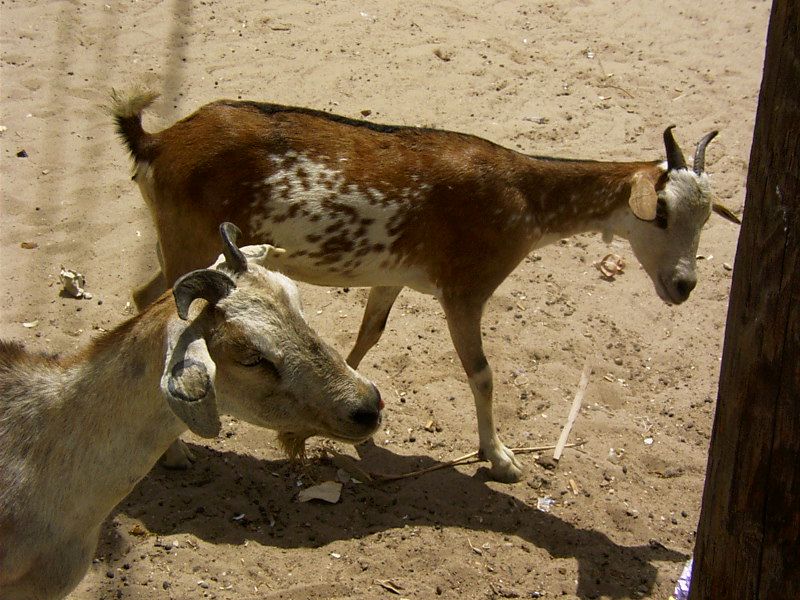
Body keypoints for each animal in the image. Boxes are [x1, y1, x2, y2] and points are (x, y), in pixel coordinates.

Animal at [111, 90, 739, 483]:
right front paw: (501, 458)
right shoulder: (465, 287)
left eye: (708, 215)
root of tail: (156, 142)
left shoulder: (392, 278)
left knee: (143, 294)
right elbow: (482, 373)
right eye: (661, 212)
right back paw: (173, 459)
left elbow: (368, 335)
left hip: (188, 244)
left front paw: (340, 428)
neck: (523, 201)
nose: (683, 285)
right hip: (187, 239)